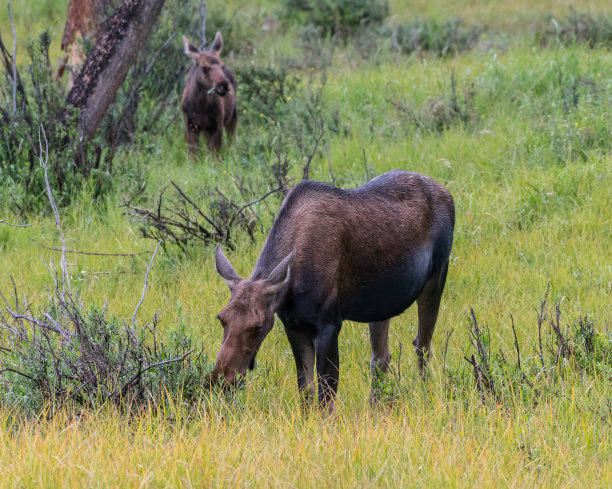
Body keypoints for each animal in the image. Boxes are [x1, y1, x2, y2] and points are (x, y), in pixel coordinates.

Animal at [210, 170, 454, 410]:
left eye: (258, 326)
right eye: (221, 318)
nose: (221, 379)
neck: (289, 291)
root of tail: (448, 194)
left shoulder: (329, 324)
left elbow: (326, 394)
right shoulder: (293, 325)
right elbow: (305, 390)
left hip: (437, 277)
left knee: (422, 346)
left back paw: (426, 398)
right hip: (381, 303)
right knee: (381, 356)